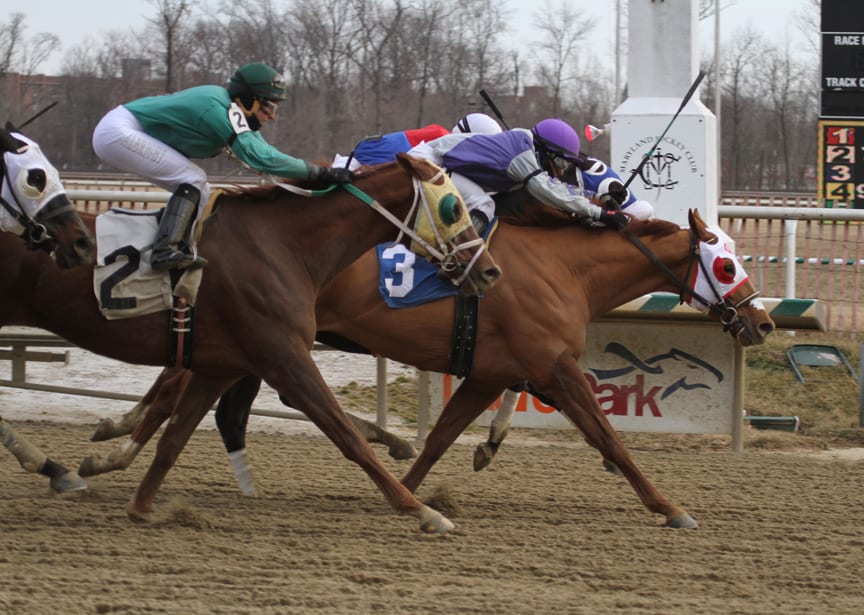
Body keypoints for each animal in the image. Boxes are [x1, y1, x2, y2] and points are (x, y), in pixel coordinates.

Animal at [82, 208, 776, 528]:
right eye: (724, 263)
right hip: (263, 334)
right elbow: (611, 440)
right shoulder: (556, 369)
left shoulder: (490, 374)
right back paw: (109, 448)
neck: (563, 269)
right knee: (181, 388)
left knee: (195, 391)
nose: (763, 322)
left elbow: (442, 437)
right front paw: (670, 507)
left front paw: (413, 490)